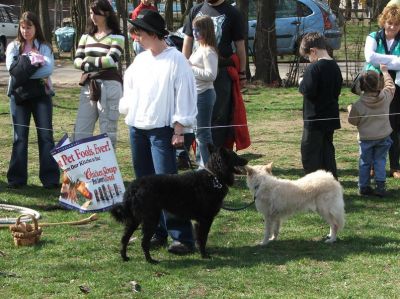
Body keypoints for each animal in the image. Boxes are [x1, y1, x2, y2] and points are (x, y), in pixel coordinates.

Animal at [110, 146, 247, 264]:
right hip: (151, 219)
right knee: (143, 242)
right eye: (235, 156)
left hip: (134, 220)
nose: (246, 160)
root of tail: (134, 186)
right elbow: (203, 238)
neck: (213, 177)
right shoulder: (205, 220)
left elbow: (200, 239)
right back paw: (150, 260)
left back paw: (125, 257)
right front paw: (204, 255)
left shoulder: (200, 221)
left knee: (124, 239)